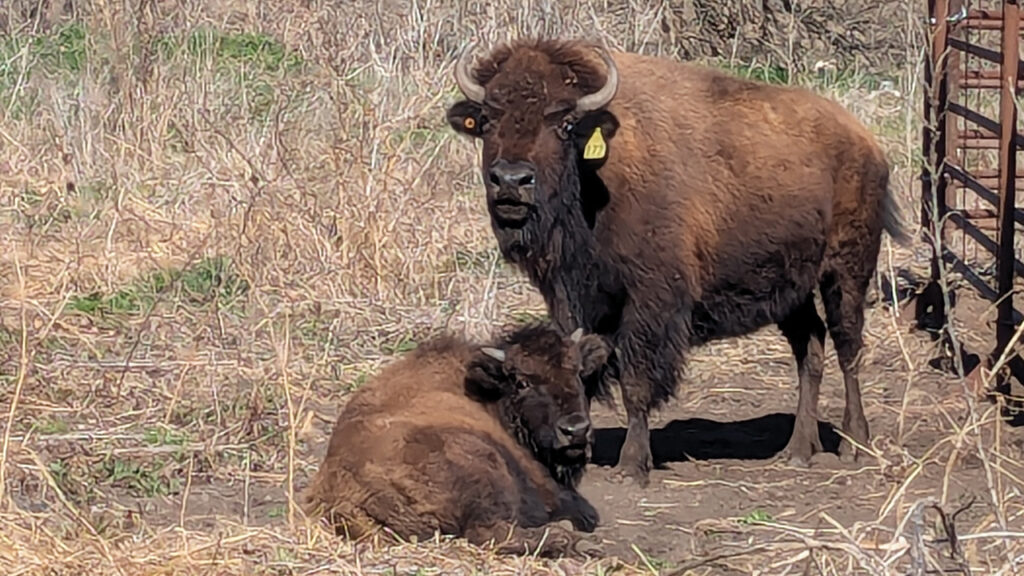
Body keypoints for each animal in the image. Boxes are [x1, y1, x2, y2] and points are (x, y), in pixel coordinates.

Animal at [303, 322, 613, 558]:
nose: (575, 429)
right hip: (482, 461)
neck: (490, 396)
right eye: (522, 382)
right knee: (489, 532)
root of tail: (340, 494)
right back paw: (575, 542)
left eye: (578, 372)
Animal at [444, 37, 911, 487]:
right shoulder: (576, 302)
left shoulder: (650, 303)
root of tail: (866, 142)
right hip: (790, 288)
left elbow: (635, 381)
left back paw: (853, 444)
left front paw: (632, 467)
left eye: (563, 123)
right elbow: (581, 373)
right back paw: (798, 449)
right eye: (487, 119)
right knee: (809, 348)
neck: (596, 169)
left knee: (848, 347)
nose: (510, 181)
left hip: (846, 271)